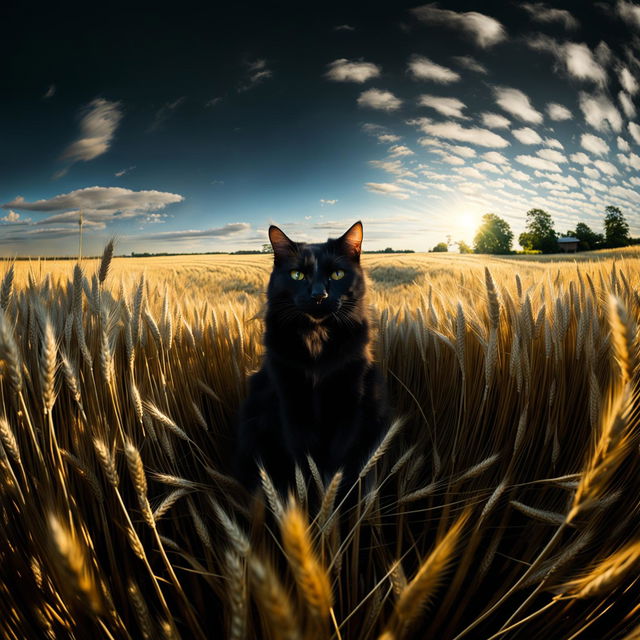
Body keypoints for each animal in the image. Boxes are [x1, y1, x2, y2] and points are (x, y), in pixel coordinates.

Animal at [234, 220, 388, 490]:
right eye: (297, 275)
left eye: (337, 274)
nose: (319, 295)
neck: (316, 336)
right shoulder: (291, 400)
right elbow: (303, 460)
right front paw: (308, 495)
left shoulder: (350, 399)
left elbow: (338, 461)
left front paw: (334, 494)